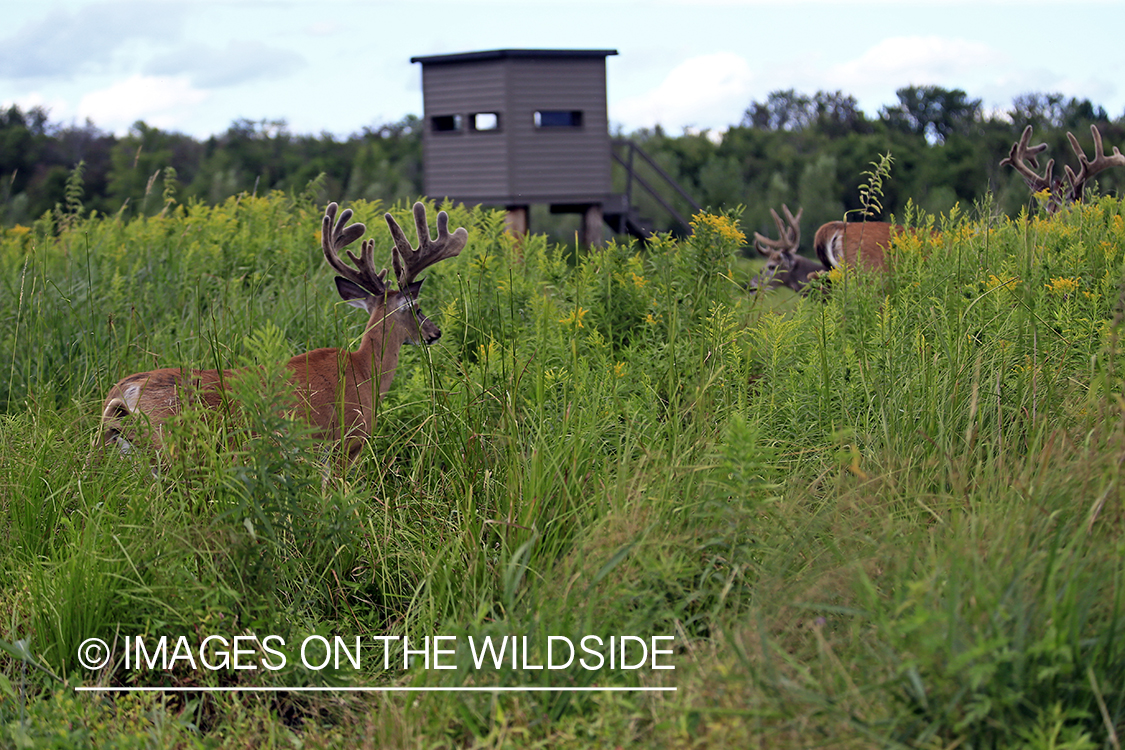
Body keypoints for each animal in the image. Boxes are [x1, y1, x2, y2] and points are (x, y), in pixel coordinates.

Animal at [97, 203, 465, 463]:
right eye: (417, 308)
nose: (435, 332)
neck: (364, 372)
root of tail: (124, 391)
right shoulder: (346, 441)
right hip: (173, 445)